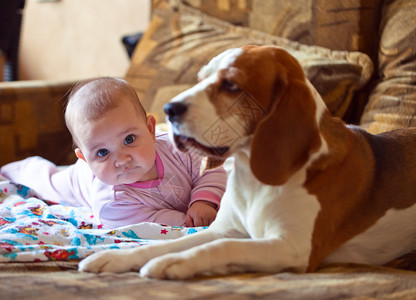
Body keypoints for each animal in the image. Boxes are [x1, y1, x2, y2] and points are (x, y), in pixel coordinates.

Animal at [79, 45, 416, 278]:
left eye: (231, 85)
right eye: (201, 79)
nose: (168, 109)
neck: (250, 176)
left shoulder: (293, 247)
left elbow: (222, 247)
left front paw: (174, 262)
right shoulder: (223, 228)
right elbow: (170, 242)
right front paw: (118, 257)